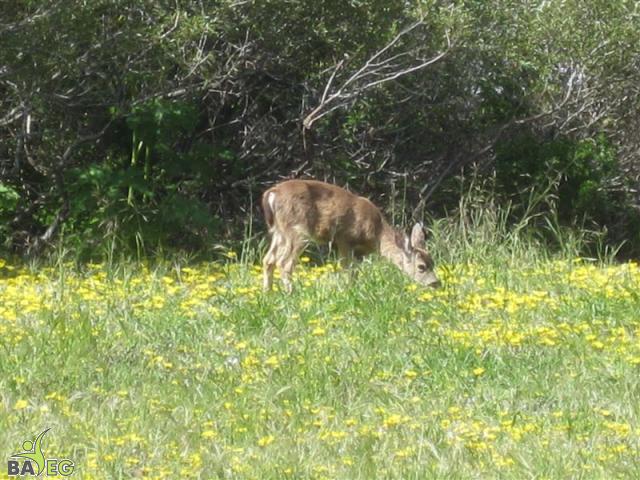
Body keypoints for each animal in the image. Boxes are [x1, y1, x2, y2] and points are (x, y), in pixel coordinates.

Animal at [261, 179, 440, 292]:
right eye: (421, 267)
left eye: (433, 262)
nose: (435, 283)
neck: (376, 234)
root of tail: (272, 193)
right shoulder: (344, 239)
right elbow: (347, 269)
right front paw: (348, 292)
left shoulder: (358, 252)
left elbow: (355, 273)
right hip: (298, 230)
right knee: (284, 262)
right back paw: (291, 293)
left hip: (279, 231)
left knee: (268, 259)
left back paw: (267, 293)